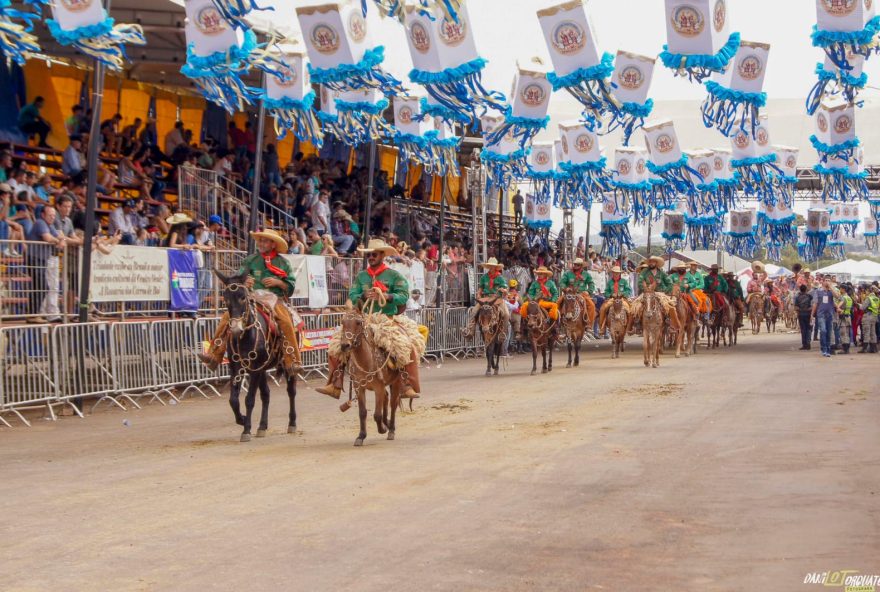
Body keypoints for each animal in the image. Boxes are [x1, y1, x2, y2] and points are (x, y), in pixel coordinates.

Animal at [336, 310, 406, 444]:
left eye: (358, 322)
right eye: (342, 322)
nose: (345, 345)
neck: (365, 361)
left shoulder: (378, 387)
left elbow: (377, 414)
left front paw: (382, 429)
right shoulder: (359, 387)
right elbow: (362, 412)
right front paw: (361, 436)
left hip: (396, 382)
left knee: (393, 404)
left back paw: (391, 429)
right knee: (386, 398)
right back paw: (387, 422)